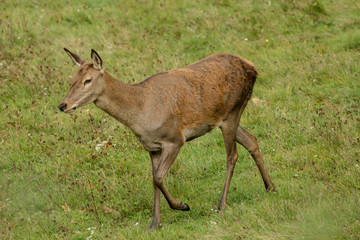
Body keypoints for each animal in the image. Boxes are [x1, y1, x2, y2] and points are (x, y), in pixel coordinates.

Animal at [59, 48, 276, 229]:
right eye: (72, 79)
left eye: (87, 80)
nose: (63, 105)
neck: (140, 113)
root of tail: (253, 68)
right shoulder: (152, 147)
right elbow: (154, 180)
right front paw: (155, 223)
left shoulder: (175, 139)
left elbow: (158, 178)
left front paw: (182, 205)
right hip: (226, 118)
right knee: (252, 140)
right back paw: (270, 187)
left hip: (232, 111)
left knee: (232, 156)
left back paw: (221, 204)